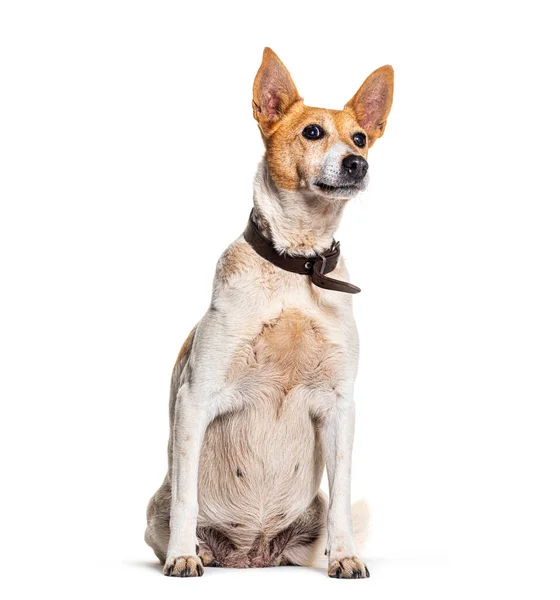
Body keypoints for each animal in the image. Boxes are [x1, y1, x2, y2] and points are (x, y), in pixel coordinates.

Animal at [144, 45, 394, 576]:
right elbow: (187, 500)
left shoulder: (341, 405)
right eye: (312, 132)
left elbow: (343, 497)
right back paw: (197, 550)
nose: (357, 164)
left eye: (360, 137)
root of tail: (250, 556)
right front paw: (182, 556)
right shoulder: (196, 397)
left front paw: (346, 557)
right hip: (156, 503)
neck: (297, 266)